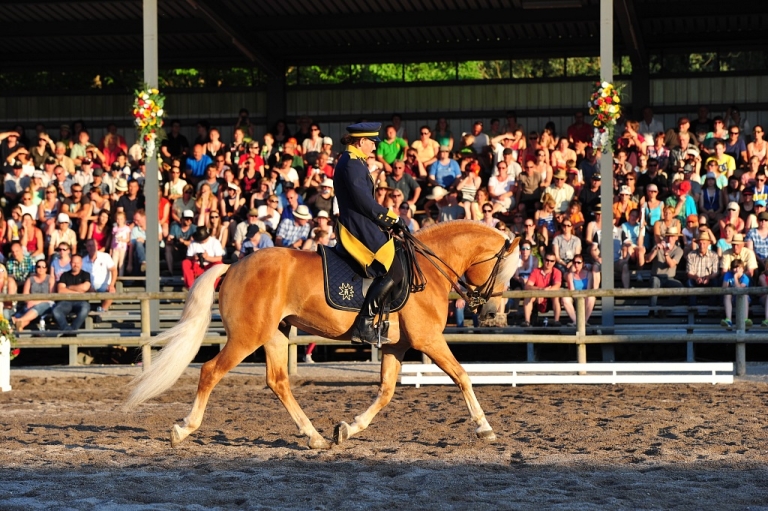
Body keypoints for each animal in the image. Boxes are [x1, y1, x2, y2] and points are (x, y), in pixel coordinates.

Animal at [127, 222, 520, 450]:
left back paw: (314, 436)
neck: (427, 267)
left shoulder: (398, 346)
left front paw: (347, 428)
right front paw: (484, 428)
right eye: (505, 269)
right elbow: (462, 376)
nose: (491, 313)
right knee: (210, 371)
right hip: (247, 337)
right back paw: (183, 430)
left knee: (278, 382)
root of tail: (235, 264)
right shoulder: (428, 341)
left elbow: (386, 392)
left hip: (275, 335)